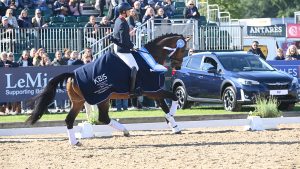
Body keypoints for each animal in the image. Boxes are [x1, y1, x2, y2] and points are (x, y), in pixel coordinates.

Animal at [25, 33, 190, 145]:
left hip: (83, 101)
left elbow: (165, 106)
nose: (178, 67)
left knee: (80, 119)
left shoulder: (155, 92)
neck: (149, 60)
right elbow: (174, 98)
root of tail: (73, 74)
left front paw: (173, 125)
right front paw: (171, 121)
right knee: (99, 118)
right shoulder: (153, 91)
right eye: (183, 51)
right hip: (100, 98)